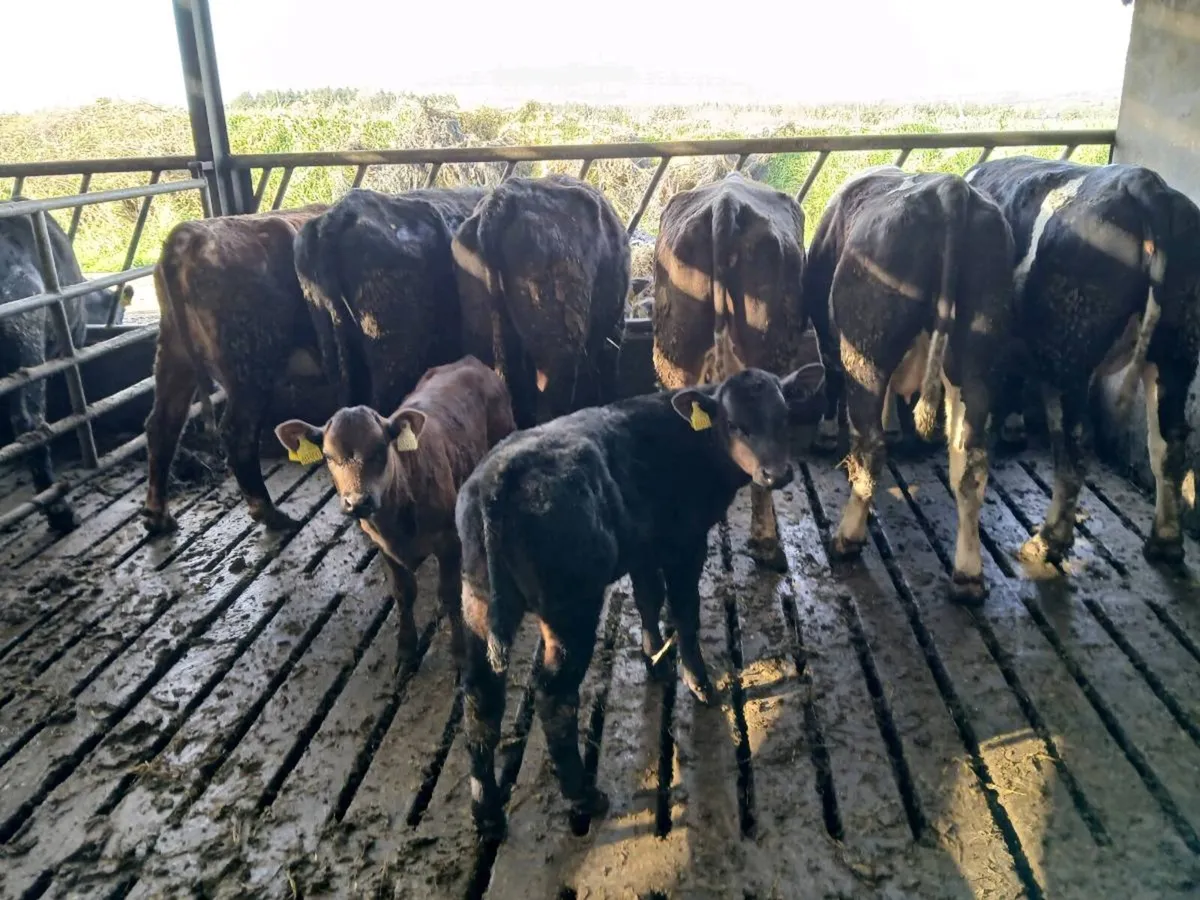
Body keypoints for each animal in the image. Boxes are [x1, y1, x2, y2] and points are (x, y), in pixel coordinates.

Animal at [141, 204, 329, 535]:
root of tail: (188, 237)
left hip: (174, 355)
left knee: (162, 424)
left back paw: (158, 516)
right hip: (250, 369)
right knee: (237, 435)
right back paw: (270, 513)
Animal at [274, 355, 515, 667]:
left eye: (381, 448)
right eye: (328, 456)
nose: (357, 501)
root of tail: (470, 360)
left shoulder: (448, 541)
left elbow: (448, 595)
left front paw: (460, 651)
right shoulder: (383, 547)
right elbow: (404, 594)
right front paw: (406, 648)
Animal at [455, 363, 826, 839]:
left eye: (783, 417)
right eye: (735, 425)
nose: (775, 474)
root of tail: (496, 479)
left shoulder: (645, 546)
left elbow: (649, 598)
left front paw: (654, 660)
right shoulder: (685, 542)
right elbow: (684, 612)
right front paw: (699, 682)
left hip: (478, 600)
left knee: (480, 697)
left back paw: (486, 812)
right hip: (570, 607)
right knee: (554, 696)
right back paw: (584, 796)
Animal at [804, 166, 1017, 603]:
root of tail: (949, 189)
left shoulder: (827, 337)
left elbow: (831, 381)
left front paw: (826, 433)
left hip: (865, 353)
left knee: (869, 448)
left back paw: (847, 538)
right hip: (978, 357)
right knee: (970, 464)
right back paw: (968, 575)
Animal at [965, 155, 1200, 565]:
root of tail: (1144, 183)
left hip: (1069, 353)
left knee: (1072, 451)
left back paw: (1047, 542)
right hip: (1176, 355)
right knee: (1169, 447)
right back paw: (1165, 542)